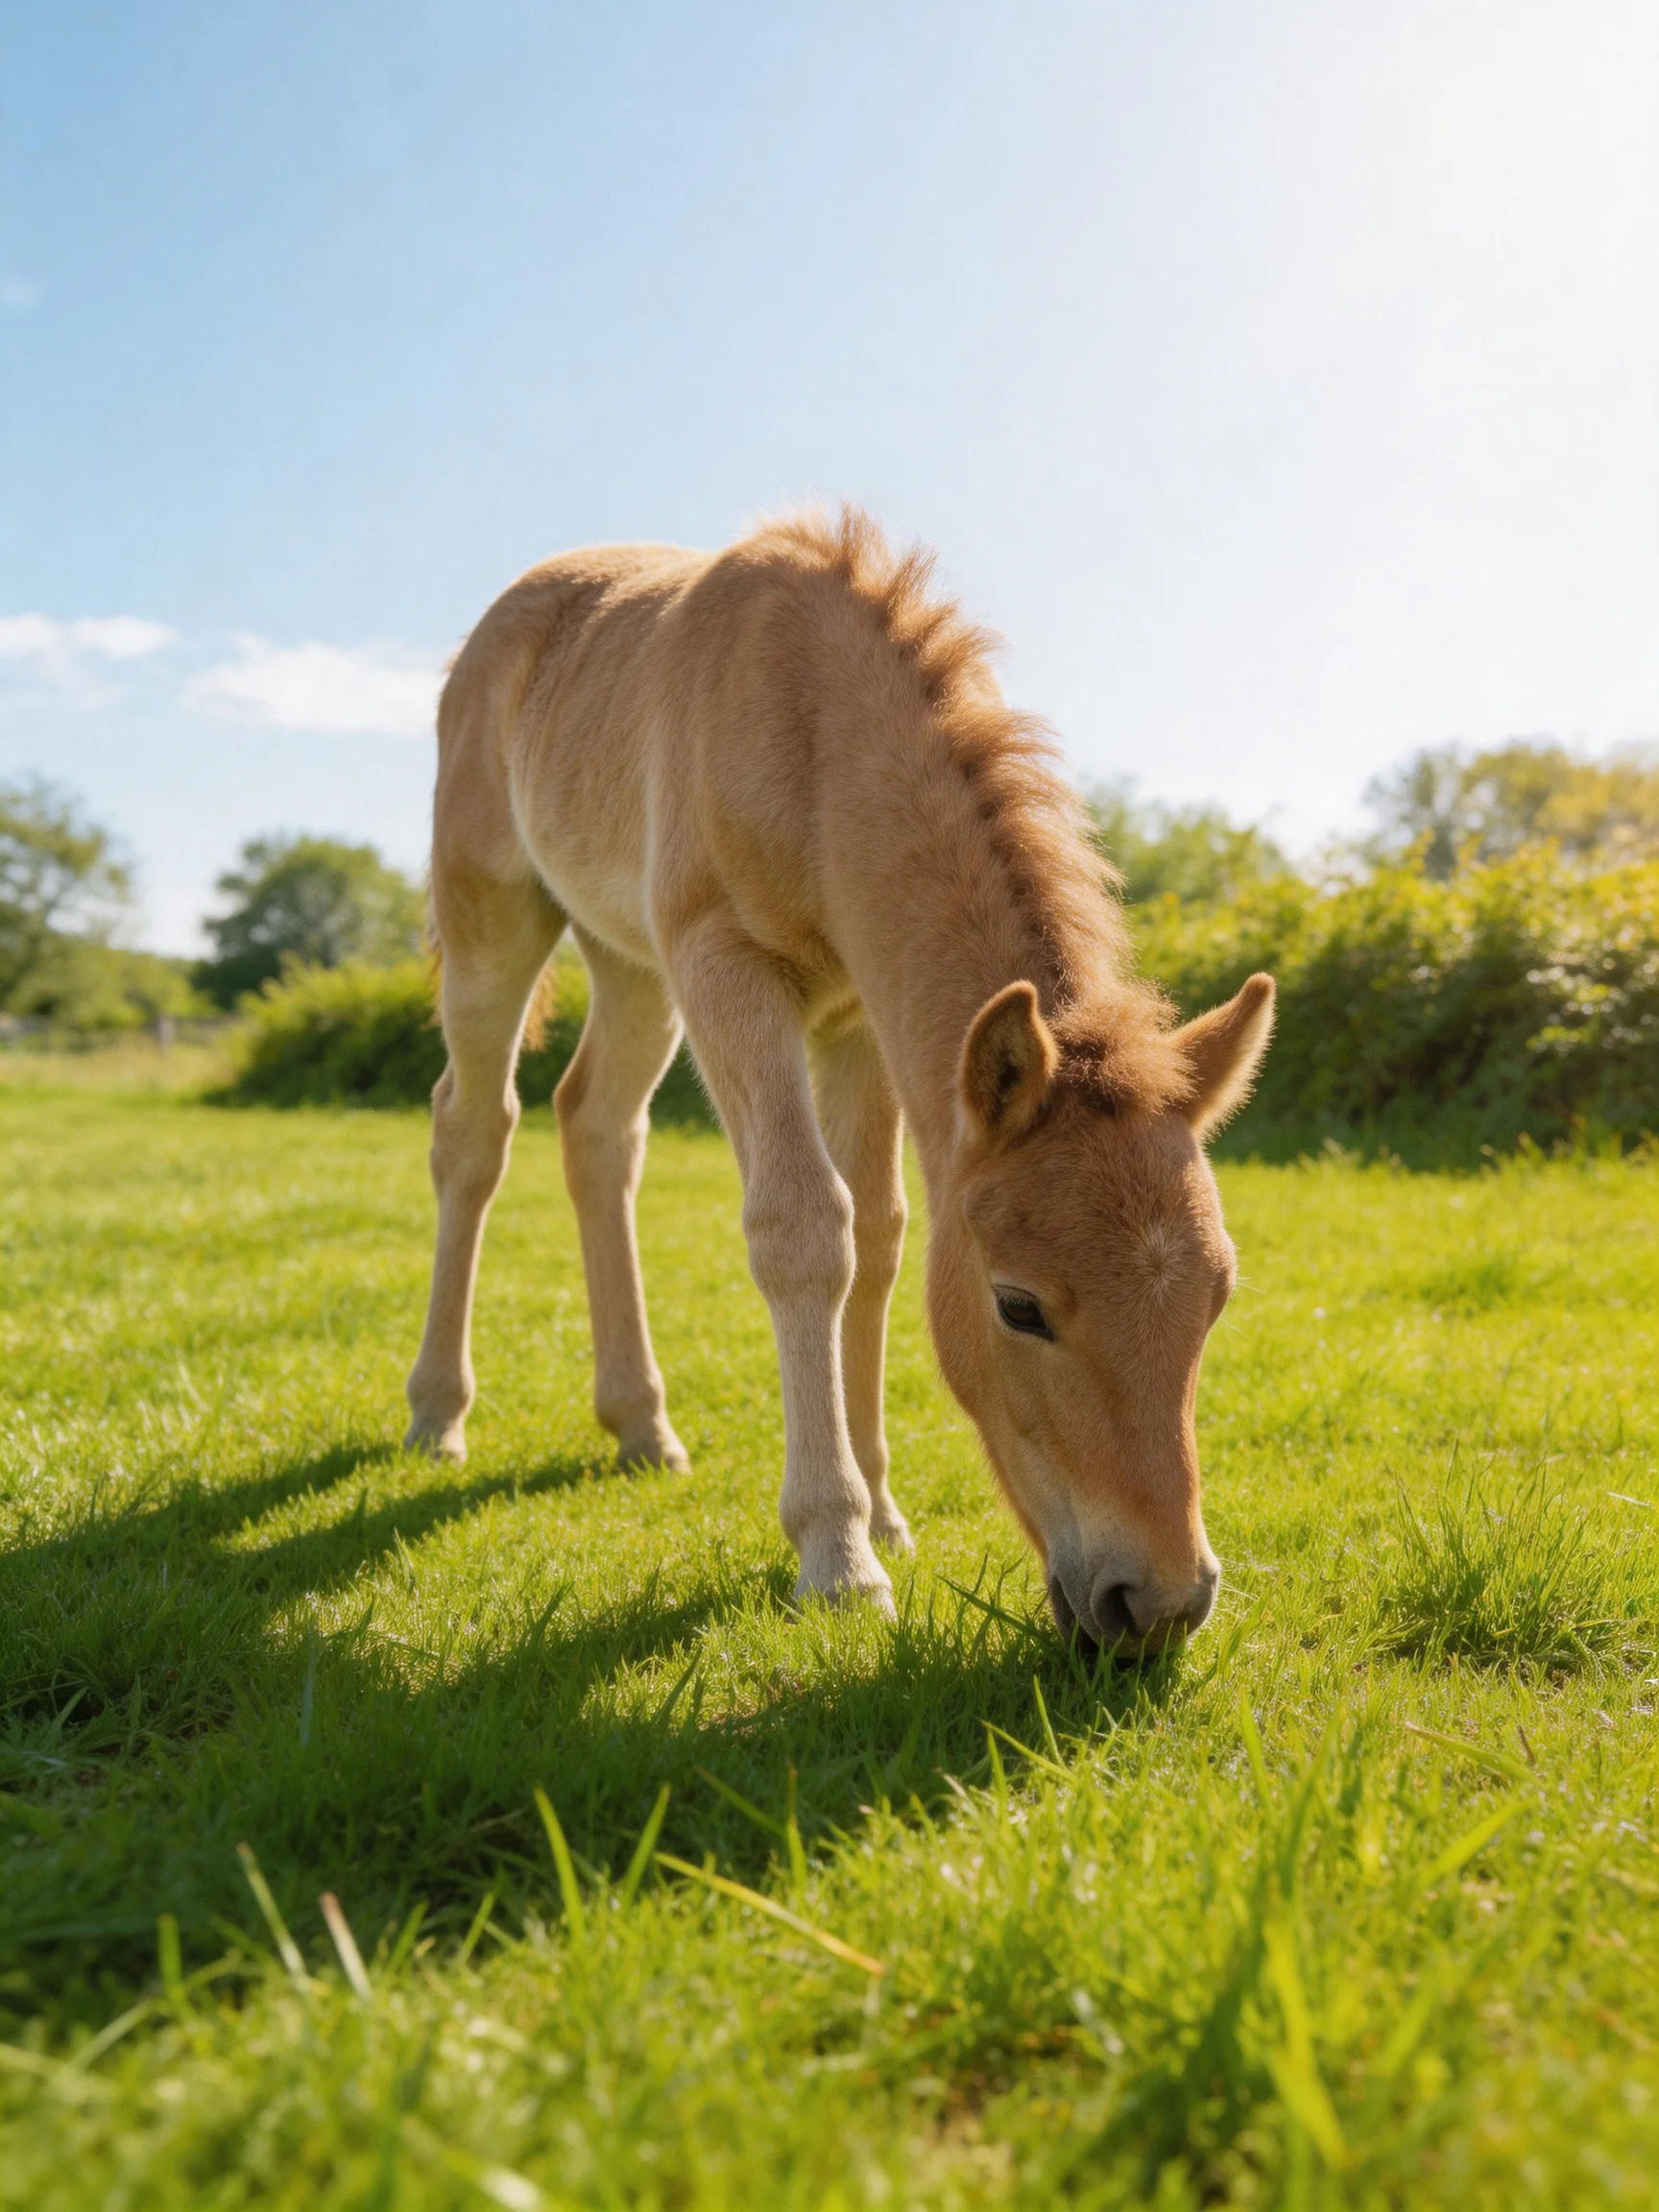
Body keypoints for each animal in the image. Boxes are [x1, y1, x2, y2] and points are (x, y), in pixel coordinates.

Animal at [405, 509, 1273, 1651]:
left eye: (1218, 1298)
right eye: (1018, 1307)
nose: (1161, 1604)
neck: (814, 728)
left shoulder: (862, 1021)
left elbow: (881, 1234)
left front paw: (887, 1516)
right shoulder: (726, 966)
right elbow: (806, 1228)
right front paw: (839, 1556)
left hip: (631, 963)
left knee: (596, 1127)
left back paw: (642, 1424)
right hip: (497, 920)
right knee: (473, 1130)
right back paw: (437, 1413)